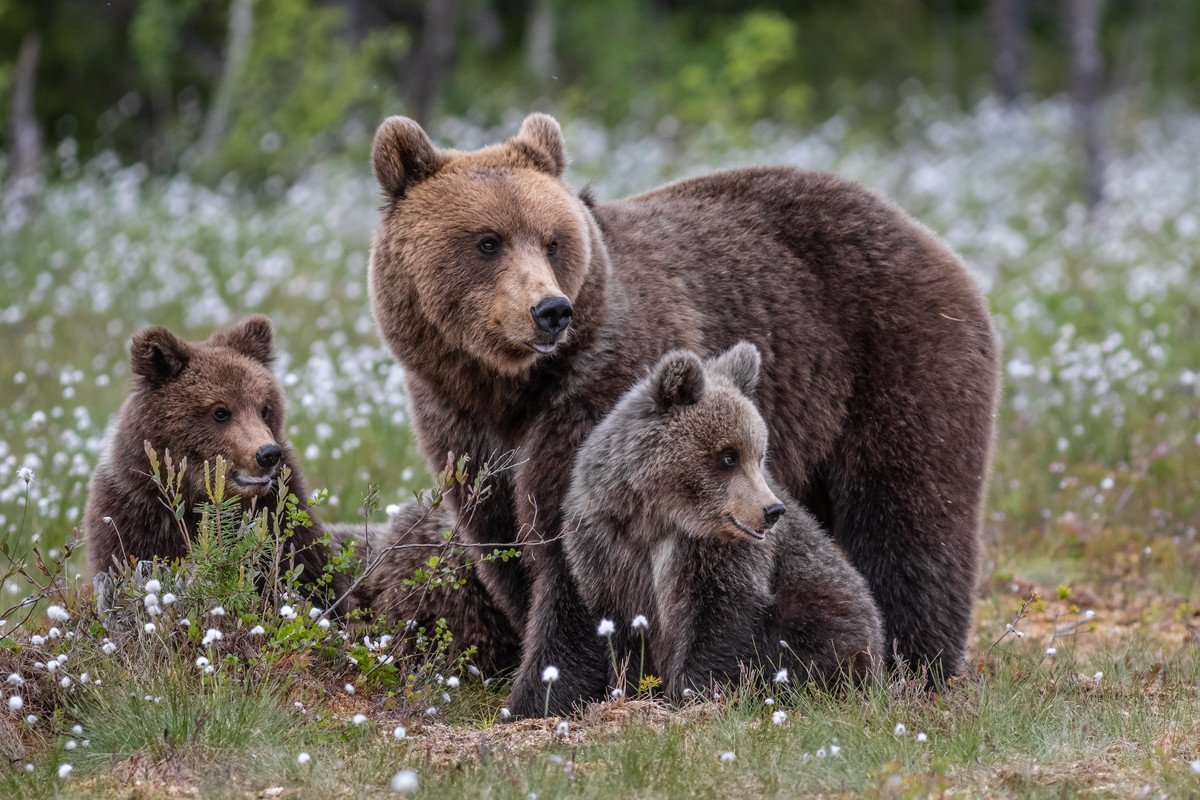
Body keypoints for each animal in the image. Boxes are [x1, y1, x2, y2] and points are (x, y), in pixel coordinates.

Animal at [367, 110, 1003, 714]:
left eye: (552, 240)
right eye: (488, 241)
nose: (550, 309)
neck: (510, 389)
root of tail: (927, 235)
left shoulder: (597, 395)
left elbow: (569, 560)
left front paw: (541, 693)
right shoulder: (459, 424)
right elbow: (505, 545)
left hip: (895, 360)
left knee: (908, 514)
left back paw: (917, 663)